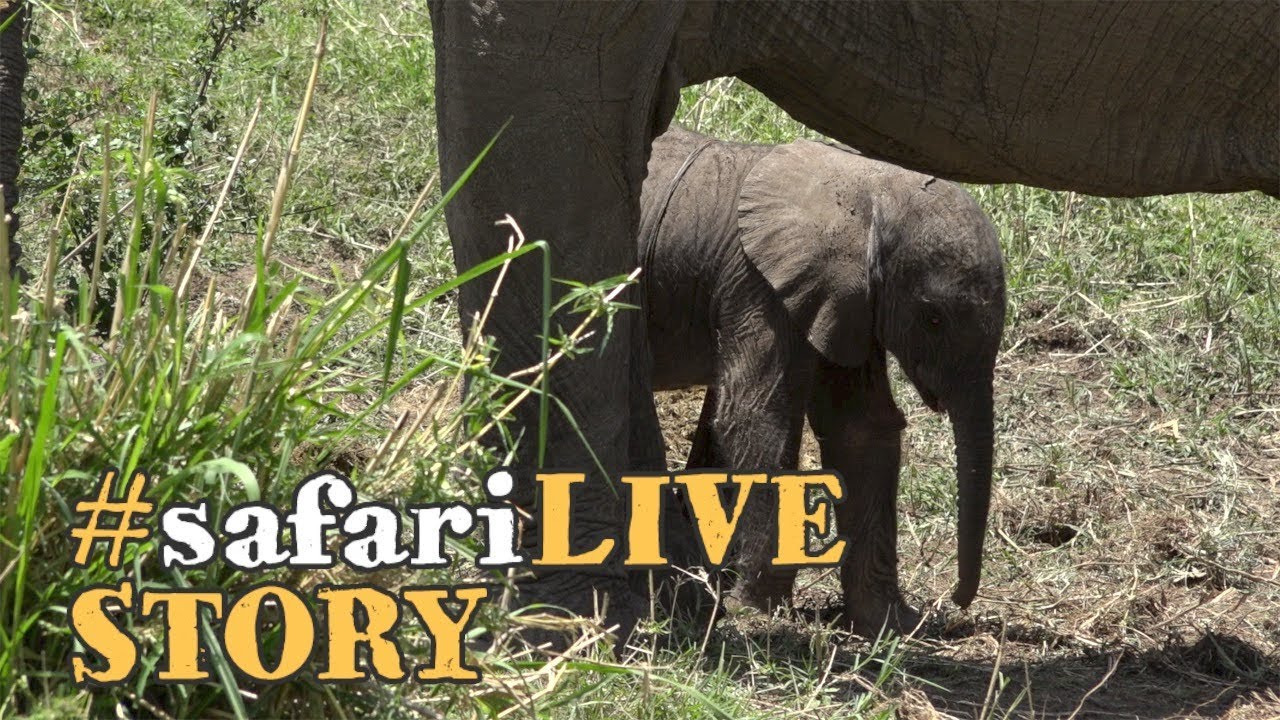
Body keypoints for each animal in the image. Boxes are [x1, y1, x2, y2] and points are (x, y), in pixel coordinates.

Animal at [639, 127, 1006, 635]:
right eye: (933, 319)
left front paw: (888, 623)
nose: (957, 601)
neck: (872, 188)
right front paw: (756, 612)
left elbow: (862, 430)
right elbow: (756, 420)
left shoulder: (849, 303)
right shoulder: (759, 285)